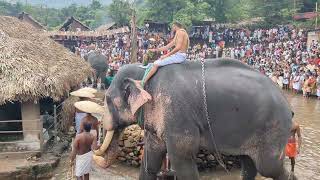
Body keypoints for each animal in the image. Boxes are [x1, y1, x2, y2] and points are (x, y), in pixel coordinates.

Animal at [94, 59, 296, 180]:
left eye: (107, 100)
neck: (144, 72)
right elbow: (151, 159)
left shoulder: (178, 114)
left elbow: (181, 158)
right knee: (249, 164)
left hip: (273, 129)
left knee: (268, 167)